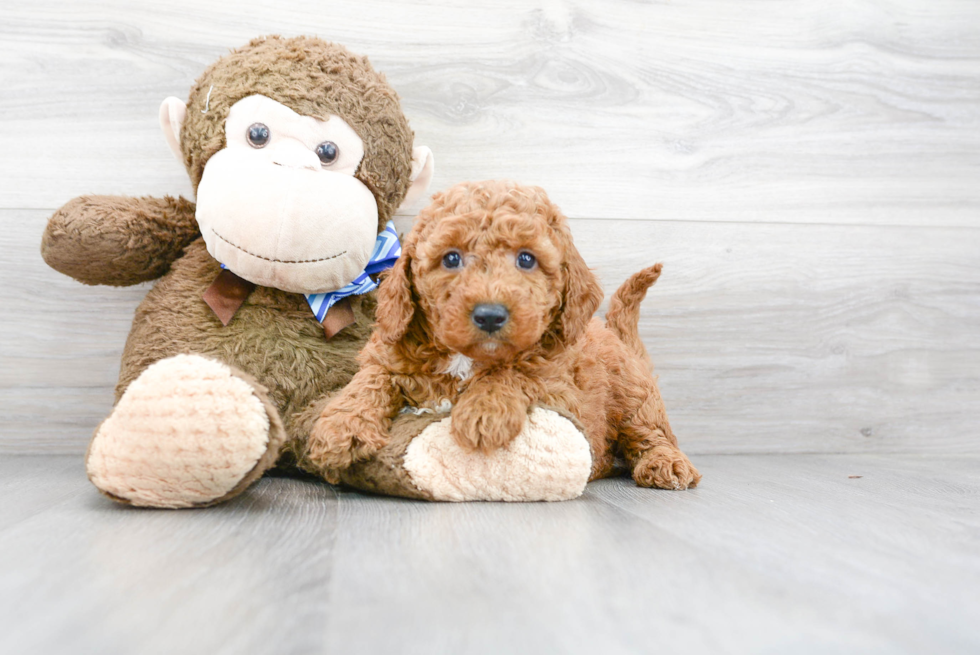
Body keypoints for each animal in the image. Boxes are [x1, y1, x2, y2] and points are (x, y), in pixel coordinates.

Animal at [310, 179, 700, 492]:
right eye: (451, 258)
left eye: (526, 259)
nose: (490, 315)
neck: (467, 358)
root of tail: (615, 334)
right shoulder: (390, 352)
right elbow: (370, 379)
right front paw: (341, 426)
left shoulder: (560, 387)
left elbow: (516, 371)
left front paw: (484, 411)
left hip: (633, 397)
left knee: (652, 433)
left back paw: (665, 463)